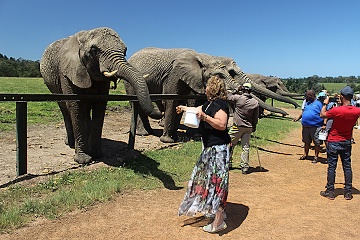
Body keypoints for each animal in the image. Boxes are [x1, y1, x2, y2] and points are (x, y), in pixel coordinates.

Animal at [40, 27, 162, 163]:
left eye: (125, 51)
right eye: (94, 51)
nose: (160, 111)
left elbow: (100, 105)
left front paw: (97, 155)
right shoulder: (67, 71)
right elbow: (76, 106)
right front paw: (83, 160)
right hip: (53, 85)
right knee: (65, 108)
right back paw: (70, 143)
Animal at [124, 47, 298, 142]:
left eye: (230, 73)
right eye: (223, 74)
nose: (290, 115)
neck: (204, 56)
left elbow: (183, 101)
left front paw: (180, 137)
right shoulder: (174, 74)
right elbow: (173, 100)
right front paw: (168, 141)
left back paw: (150, 132)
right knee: (136, 103)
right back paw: (144, 133)